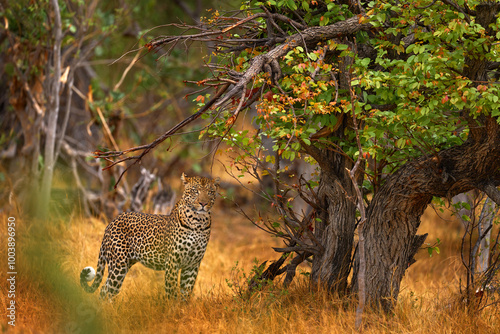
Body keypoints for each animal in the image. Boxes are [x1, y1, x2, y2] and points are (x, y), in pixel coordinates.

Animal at [79, 174, 219, 298]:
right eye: (195, 191)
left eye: (210, 192)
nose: (203, 203)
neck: (198, 223)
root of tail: (110, 223)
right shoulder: (173, 261)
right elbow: (172, 293)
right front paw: (173, 310)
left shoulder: (193, 264)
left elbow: (186, 294)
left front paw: (183, 310)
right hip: (118, 264)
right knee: (107, 290)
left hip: (125, 264)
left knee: (106, 290)